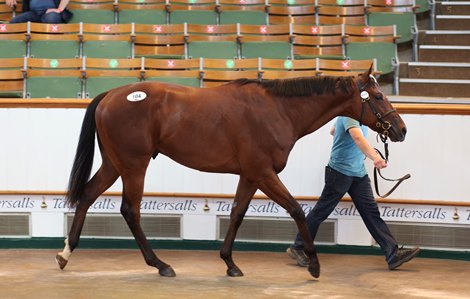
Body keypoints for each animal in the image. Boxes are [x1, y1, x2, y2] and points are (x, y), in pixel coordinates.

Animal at [56, 67, 408, 280]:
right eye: (378, 96)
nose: (401, 129)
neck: (278, 110)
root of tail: (111, 95)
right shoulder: (264, 173)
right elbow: (296, 209)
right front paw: (314, 264)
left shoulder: (250, 176)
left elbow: (237, 213)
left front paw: (229, 262)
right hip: (134, 166)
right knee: (130, 210)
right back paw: (160, 265)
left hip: (115, 164)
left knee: (87, 195)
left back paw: (65, 254)